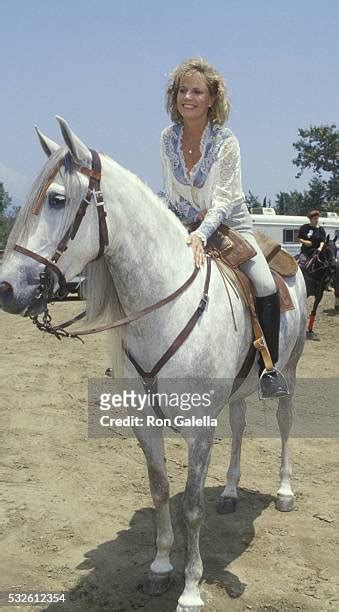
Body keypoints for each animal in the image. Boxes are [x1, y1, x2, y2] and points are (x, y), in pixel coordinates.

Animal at [0, 117, 308, 608]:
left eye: (57, 199)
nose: (7, 288)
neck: (165, 307)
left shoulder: (199, 430)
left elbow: (192, 506)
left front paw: (192, 589)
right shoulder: (145, 424)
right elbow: (162, 491)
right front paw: (161, 567)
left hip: (289, 372)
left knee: (283, 421)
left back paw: (283, 490)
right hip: (240, 390)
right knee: (240, 423)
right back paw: (232, 491)